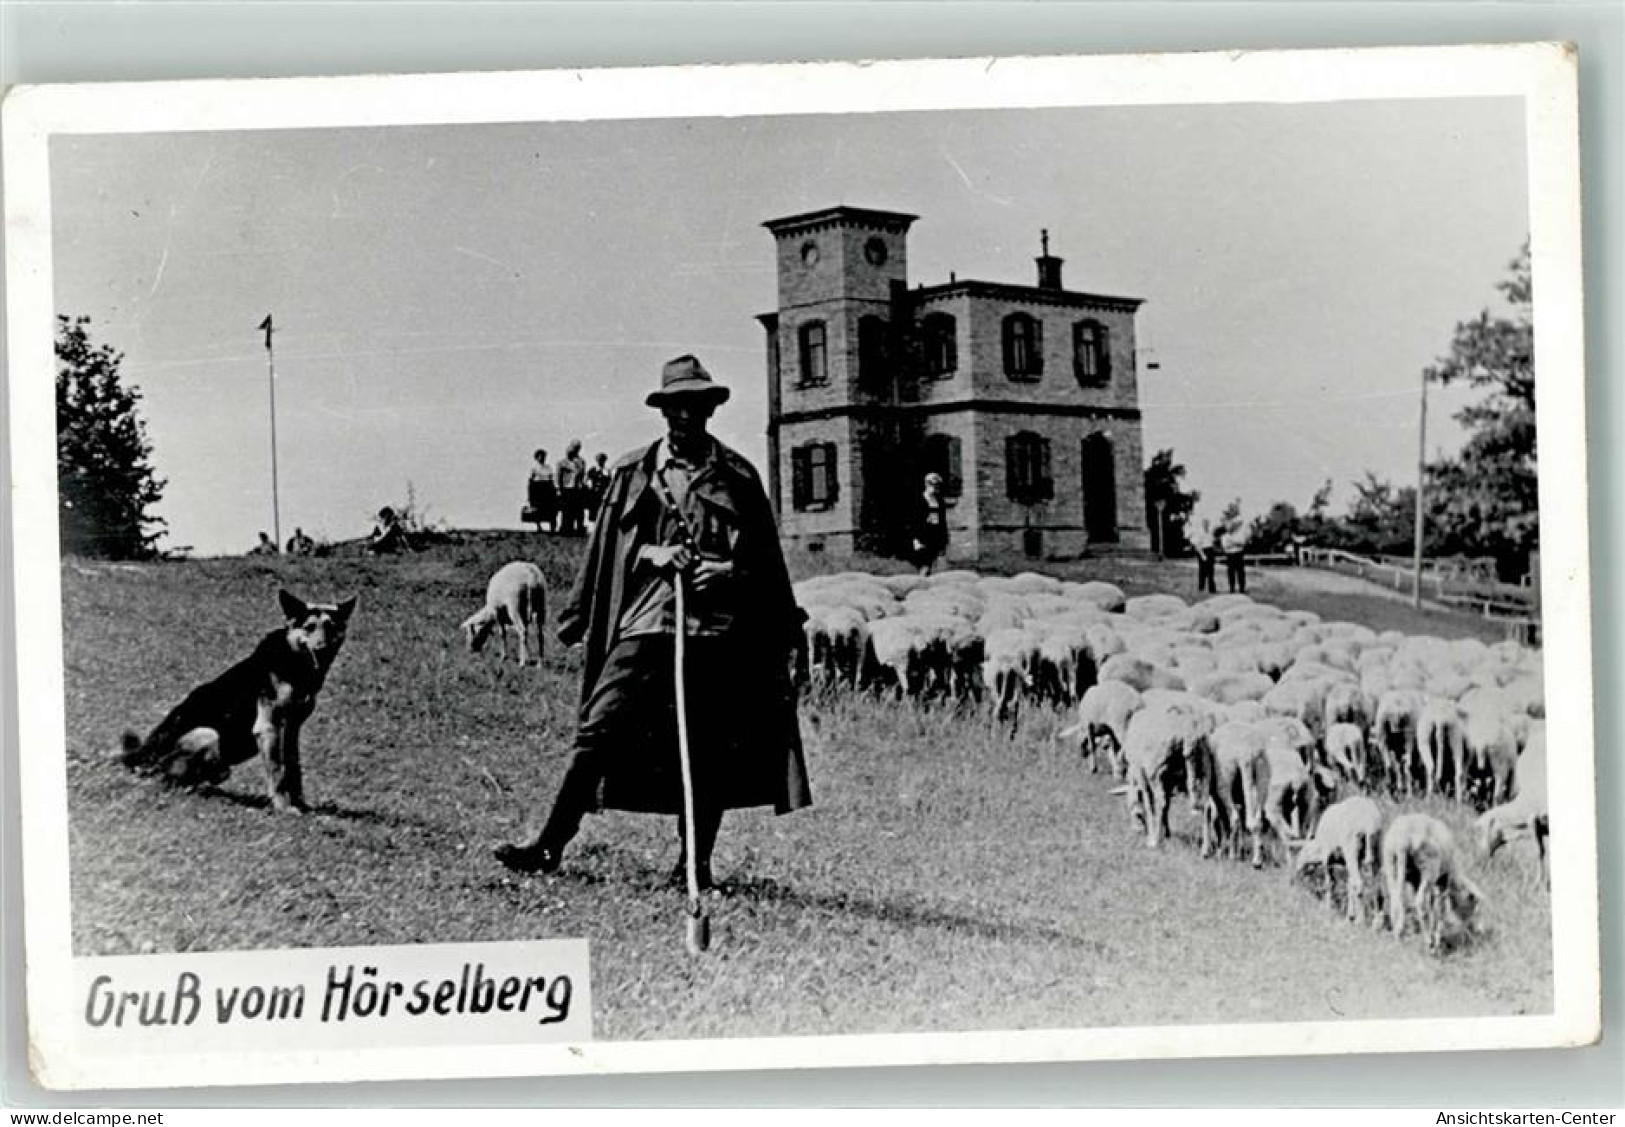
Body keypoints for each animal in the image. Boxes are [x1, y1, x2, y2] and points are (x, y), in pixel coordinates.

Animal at [119, 587, 359, 815]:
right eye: (309, 627)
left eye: (330, 627)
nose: (322, 649)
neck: (293, 663)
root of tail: (139, 759)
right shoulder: (269, 728)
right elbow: (279, 771)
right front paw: (284, 808)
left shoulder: (292, 730)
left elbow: (293, 769)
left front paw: (301, 805)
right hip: (206, 734)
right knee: (174, 780)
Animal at [1378, 811, 1482, 954]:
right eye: (1473, 904)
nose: (1474, 930)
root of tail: (1403, 839)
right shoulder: (1443, 880)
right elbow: (1440, 907)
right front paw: (1437, 937)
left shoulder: (1416, 881)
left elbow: (1432, 905)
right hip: (1428, 866)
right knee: (1420, 903)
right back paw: (1428, 942)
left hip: (1391, 863)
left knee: (1396, 900)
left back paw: (1399, 937)